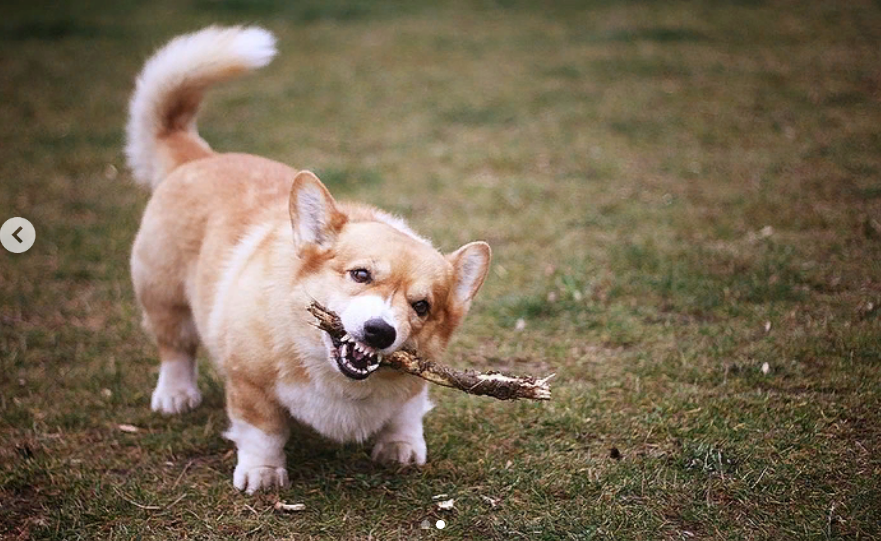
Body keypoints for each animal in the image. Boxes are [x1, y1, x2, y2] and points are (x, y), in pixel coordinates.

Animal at [126, 28, 492, 494]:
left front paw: (401, 448)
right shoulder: (250, 385)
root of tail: (199, 156)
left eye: (422, 306)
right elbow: (262, 432)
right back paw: (175, 395)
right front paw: (262, 474)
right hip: (164, 298)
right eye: (360, 274)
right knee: (175, 349)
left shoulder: (413, 385)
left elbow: (407, 413)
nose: (379, 332)